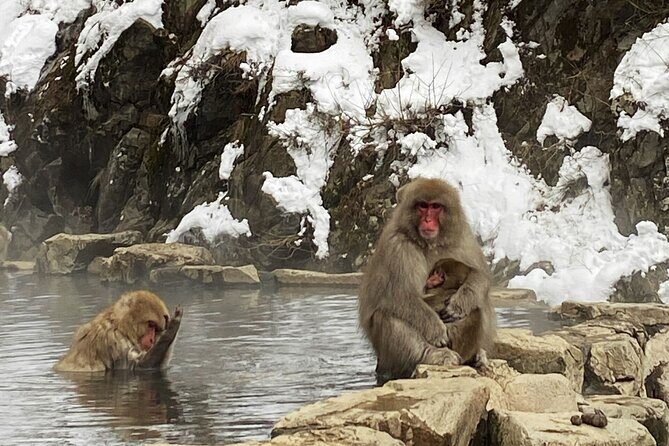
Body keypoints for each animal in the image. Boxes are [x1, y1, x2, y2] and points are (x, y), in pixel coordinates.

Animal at [359, 177, 495, 383]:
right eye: (422, 206)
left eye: (436, 206)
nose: (428, 220)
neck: (431, 243)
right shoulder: (398, 248)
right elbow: (399, 296)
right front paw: (435, 330)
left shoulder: (463, 239)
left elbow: (480, 276)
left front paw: (460, 303)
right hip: (387, 358)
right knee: (389, 316)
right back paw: (433, 355)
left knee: (479, 304)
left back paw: (478, 353)